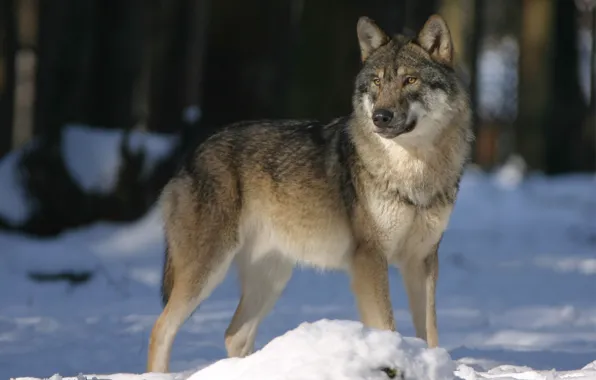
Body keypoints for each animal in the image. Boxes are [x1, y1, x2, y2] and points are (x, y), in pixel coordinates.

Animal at [147, 14, 472, 372]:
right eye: (376, 82)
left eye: (410, 80)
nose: (380, 117)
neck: (413, 172)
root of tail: (191, 155)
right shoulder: (370, 259)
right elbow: (387, 324)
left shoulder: (423, 259)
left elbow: (430, 332)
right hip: (207, 271)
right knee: (161, 327)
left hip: (272, 278)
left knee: (234, 334)